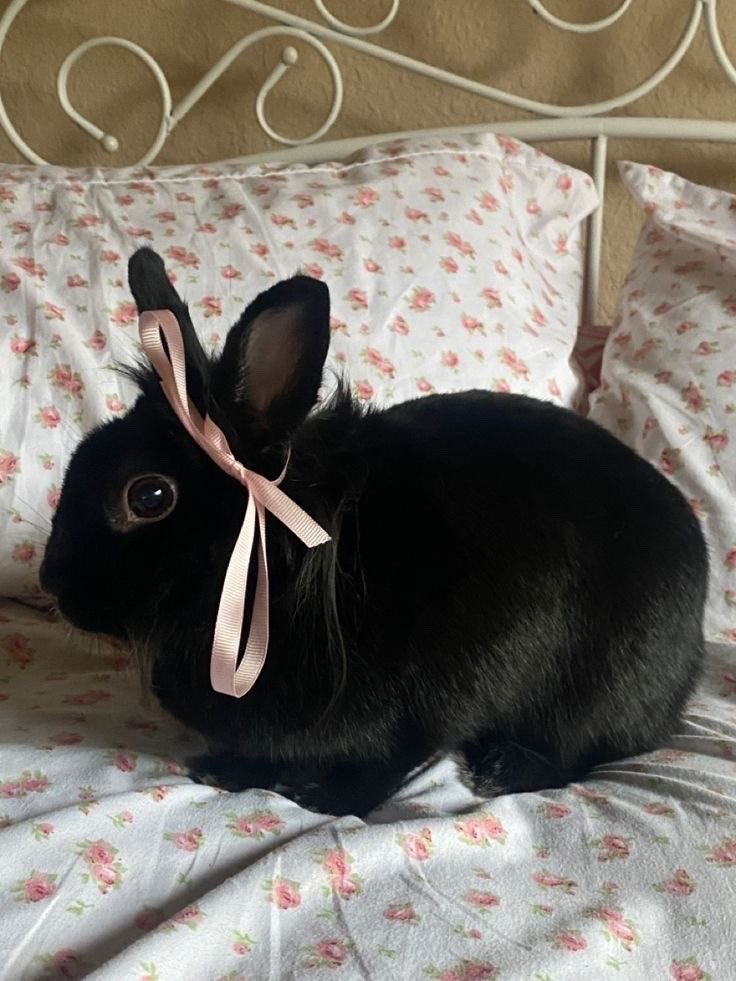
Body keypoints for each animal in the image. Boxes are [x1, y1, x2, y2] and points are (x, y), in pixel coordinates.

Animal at [40, 246, 708, 818]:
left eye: (149, 496)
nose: (51, 581)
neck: (279, 563)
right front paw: (228, 769)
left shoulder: (427, 702)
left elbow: (383, 765)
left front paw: (318, 797)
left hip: (595, 688)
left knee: (586, 752)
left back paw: (501, 769)